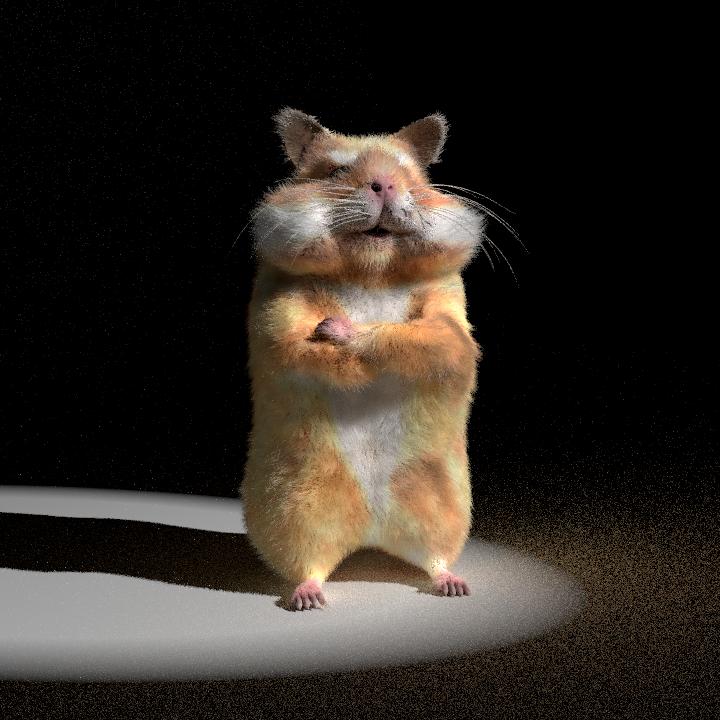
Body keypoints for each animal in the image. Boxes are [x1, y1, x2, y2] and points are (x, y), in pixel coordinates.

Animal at [241, 108, 486, 611]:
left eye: (408, 174)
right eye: (337, 171)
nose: (384, 185)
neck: (371, 270)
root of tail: (372, 533)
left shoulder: (449, 312)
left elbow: (436, 340)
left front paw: (338, 328)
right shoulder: (277, 309)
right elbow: (294, 343)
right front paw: (328, 329)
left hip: (442, 508)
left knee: (434, 557)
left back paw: (453, 584)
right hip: (297, 511)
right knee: (307, 562)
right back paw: (307, 598)